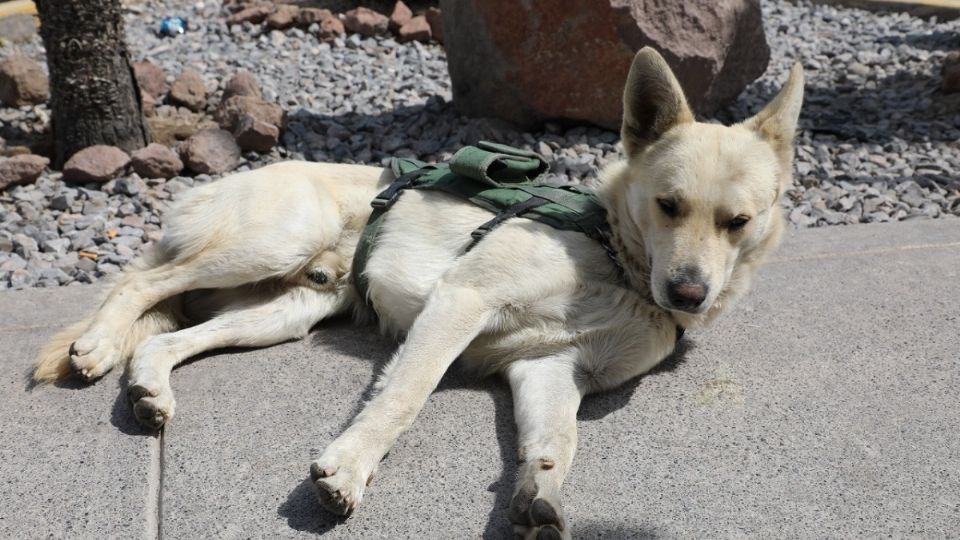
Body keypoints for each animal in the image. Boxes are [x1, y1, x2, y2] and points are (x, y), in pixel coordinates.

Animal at [31, 48, 804, 536]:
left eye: (737, 222)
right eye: (670, 206)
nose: (689, 293)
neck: (615, 260)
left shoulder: (551, 370)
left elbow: (557, 442)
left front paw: (540, 493)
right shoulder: (461, 301)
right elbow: (402, 398)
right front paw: (347, 469)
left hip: (284, 311)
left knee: (169, 338)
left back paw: (148, 388)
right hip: (269, 244)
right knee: (142, 280)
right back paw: (95, 343)